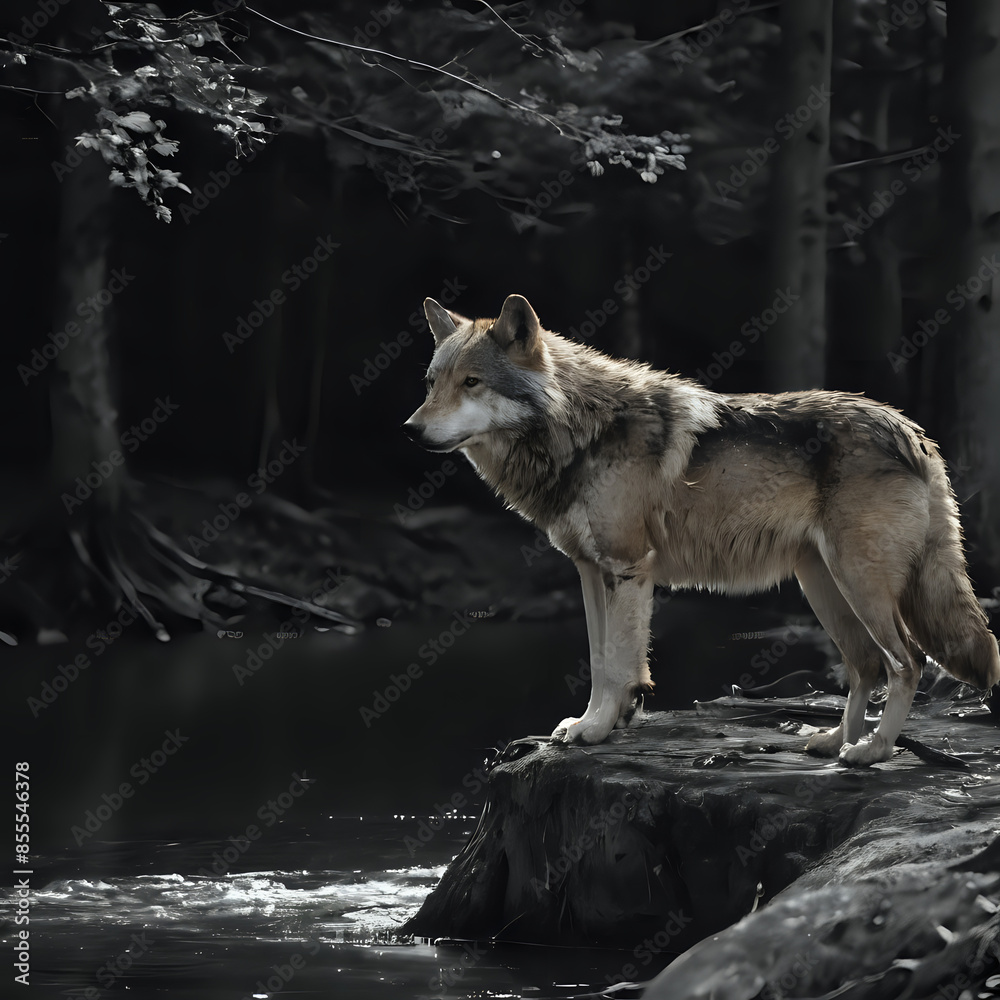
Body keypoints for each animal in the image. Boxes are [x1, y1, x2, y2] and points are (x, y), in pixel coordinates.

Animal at [403, 294, 1000, 766]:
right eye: (431, 384)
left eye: (472, 382)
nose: (410, 430)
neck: (581, 430)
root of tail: (915, 434)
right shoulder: (591, 572)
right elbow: (599, 661)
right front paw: (591, 724)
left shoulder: (627, 567)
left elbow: (617, 665)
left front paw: (597, 731)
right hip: (824, 587)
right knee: (867, 666)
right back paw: (834, 743)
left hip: (861, 587)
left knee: (908, 662)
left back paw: (873, 751)